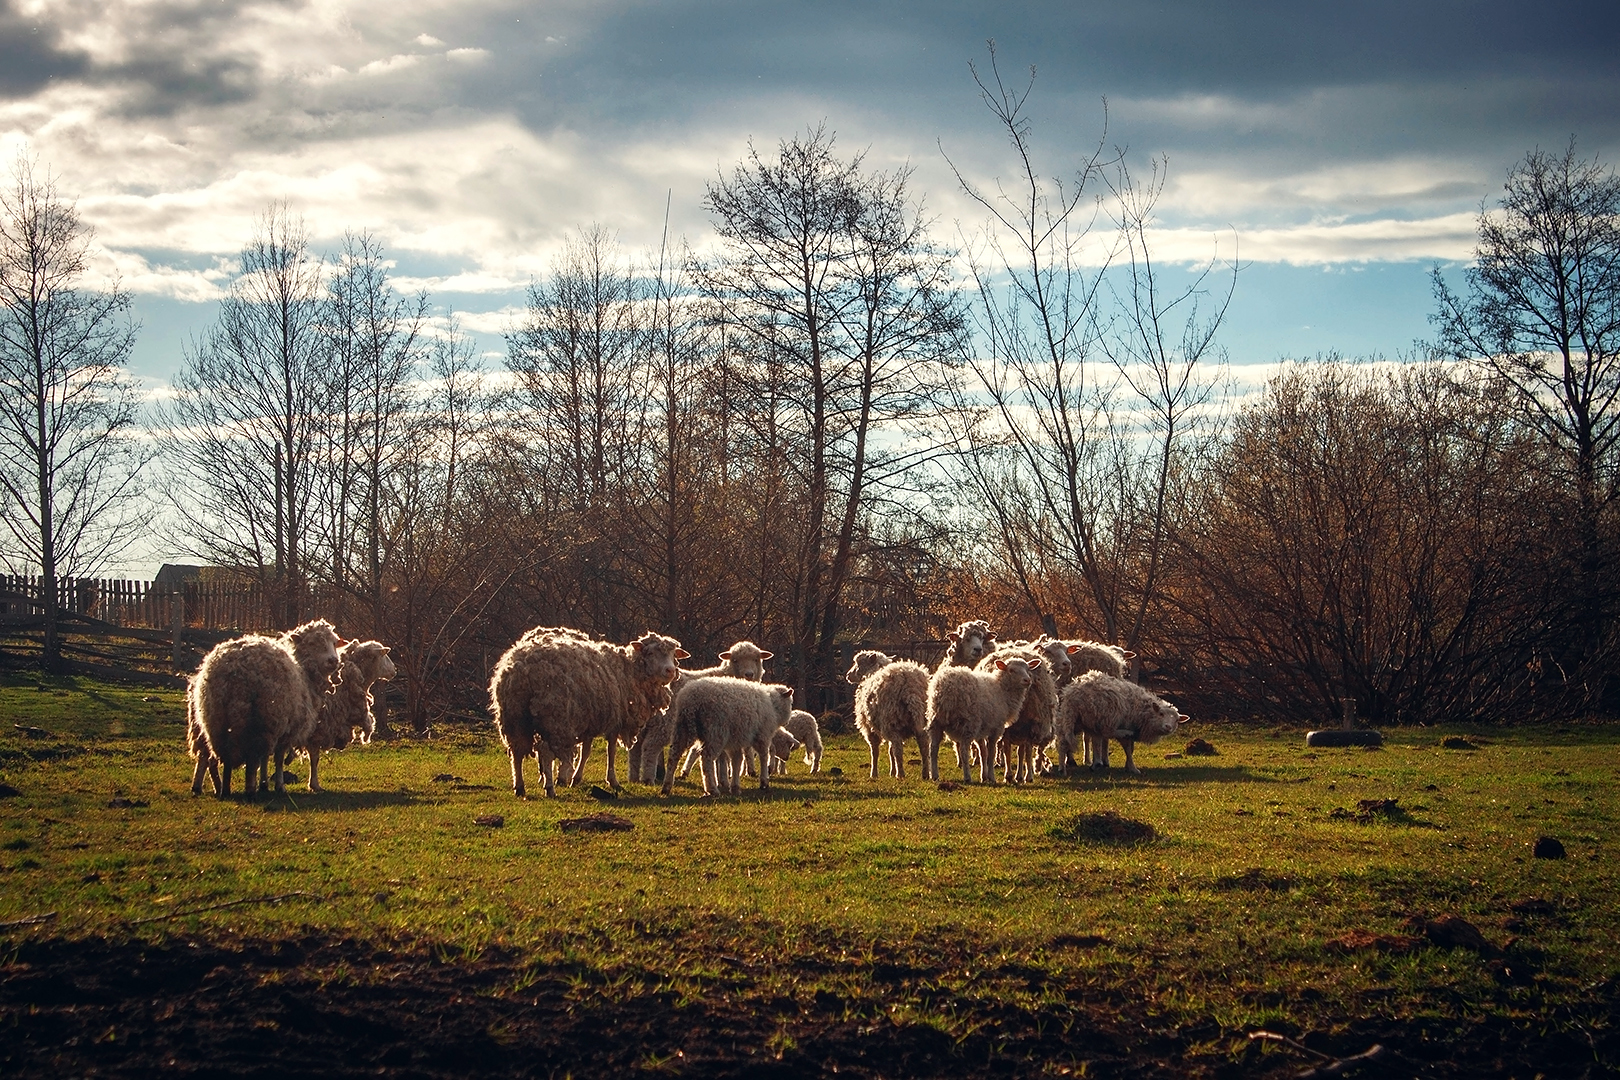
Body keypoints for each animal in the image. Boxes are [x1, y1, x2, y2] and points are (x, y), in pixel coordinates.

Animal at [482, 628, 680, 799]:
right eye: (651, 653)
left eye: (673, 655)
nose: (671, 670)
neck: (628, 672)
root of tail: (521, 670)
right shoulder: (614, 721)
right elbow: (611, 751)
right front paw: (613, 781)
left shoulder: (590, 722)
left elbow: (586, 751)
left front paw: (576, 779)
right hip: (554, 717)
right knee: (545, 751)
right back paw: (549, 788)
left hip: (514, 717)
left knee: (516, 752)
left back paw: (520, 787)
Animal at [660, 680, 793, 799]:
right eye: (790, 703)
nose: (787, 722)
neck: (773, 705)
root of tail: (691, 701)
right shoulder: (762, 735)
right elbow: (764, 756)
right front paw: (764, 781)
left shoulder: (736, 741)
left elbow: (737, 760)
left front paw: (734, 786)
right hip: (716, 731)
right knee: (706, 758)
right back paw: (712, 789)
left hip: (682, 728)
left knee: (673, 755)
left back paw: (666, 786)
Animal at [926, 650, 1036, 786]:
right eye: (1011, 670)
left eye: (1028, 669)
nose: (1027, 680)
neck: (1002, 691)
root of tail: (945, 687)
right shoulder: (996, 728)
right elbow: (991, 753)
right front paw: (992, 777)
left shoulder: (982, 729)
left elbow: (983, 752)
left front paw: (984, 776)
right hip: (968, 723)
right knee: (963, 750)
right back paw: (967, 777)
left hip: (935, 721)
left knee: (933, 748)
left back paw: (935, 775)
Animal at [1049, 670, 1192, 773]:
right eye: (1161, 714)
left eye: (1177, 720)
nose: (1168, 727)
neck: (1145, 712)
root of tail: (1073, 695)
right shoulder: (1128, 724)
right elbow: (1128, 749)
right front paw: (1133, 768)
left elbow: (1130, 749)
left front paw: (1128, 766)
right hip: (1106, 714)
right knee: (1107, 732)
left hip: (1075, 720)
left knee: (1063, 742)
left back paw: (1063, 767)